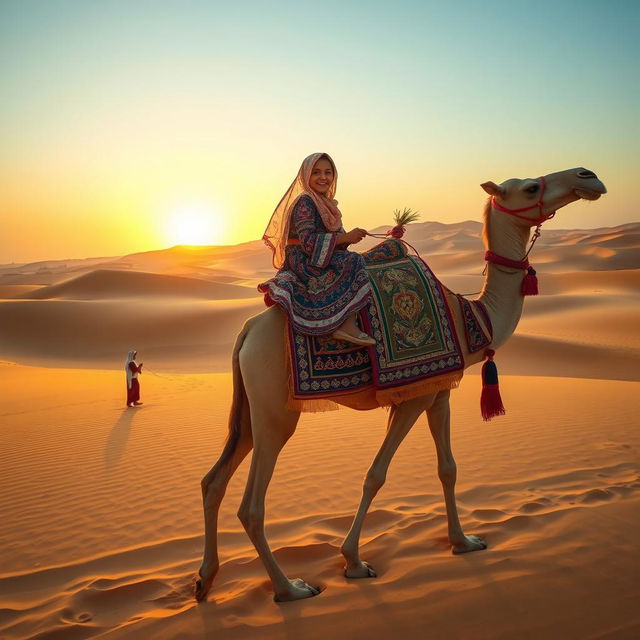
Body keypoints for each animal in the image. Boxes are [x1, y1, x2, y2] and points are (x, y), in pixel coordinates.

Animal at [194, 168, 604, 604]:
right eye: (530, 187)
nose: (588, 176)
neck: (472, 319)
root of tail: (247, 332)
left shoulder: (440, 394)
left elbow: (448, 468)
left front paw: (464, 541)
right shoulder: (414, 397)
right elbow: (376, 474)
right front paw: (354, 562)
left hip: (250, 409)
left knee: (214, 481)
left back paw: (205, 580)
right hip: (275, 411)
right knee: (251, 506)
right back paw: (290, 588)